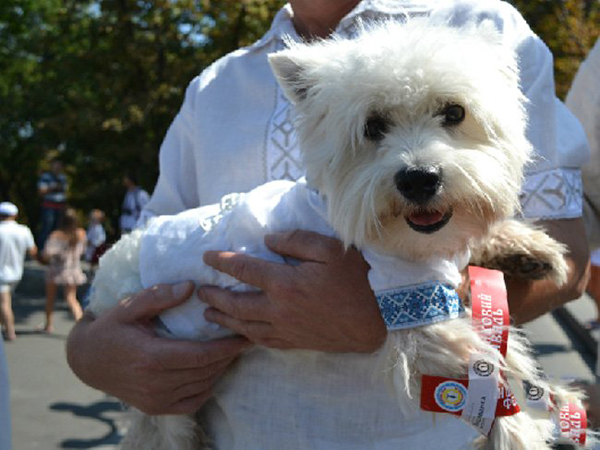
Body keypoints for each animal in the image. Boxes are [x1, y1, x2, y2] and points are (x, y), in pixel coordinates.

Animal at [89, 17, 592, 450]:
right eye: (373, 126)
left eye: (453, 112)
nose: (419, 179)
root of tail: (105, 271)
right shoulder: (412, 313)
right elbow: (491, 365)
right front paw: (527, 422)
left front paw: (531, 248)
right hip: (162, 385)